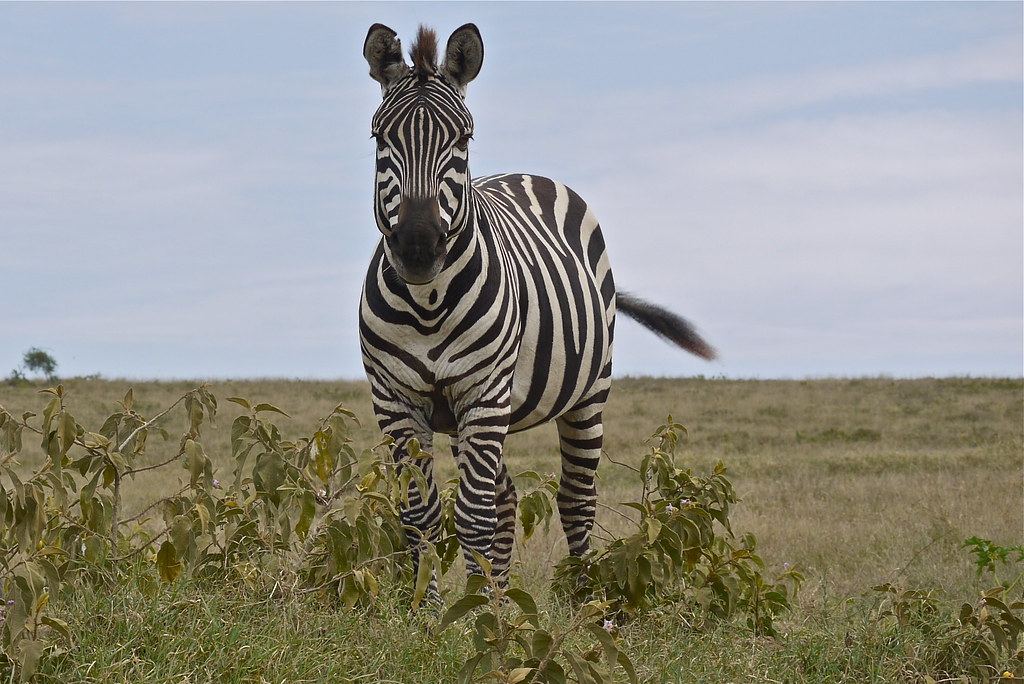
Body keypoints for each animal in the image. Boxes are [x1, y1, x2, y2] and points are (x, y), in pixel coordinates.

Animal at [358, 22, 712, 593]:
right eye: (380, 138)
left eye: (462, 140)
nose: (417, 247)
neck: (427, 304)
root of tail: (530, 174)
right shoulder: (395, 399)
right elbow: (420, 518)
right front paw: (430, 608)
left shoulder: (483, 392)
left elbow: (472, 517)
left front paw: (473, 614)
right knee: (505, 500)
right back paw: (501, 596)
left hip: (587, 390)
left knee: (575, 500)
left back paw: (583, 597)